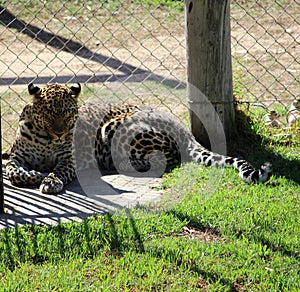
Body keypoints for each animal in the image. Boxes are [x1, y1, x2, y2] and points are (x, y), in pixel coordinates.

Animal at [5, 83, 272, 194]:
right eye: (50, 113)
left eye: (69, 113)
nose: (61, 132)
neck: (45, 137)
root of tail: (181, 126)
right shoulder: (17, 157)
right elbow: (12, 170)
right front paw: (33, 175)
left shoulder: (69, 160)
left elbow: (58, 171)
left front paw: (50, 182)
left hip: (117, 127)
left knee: (165, 159)